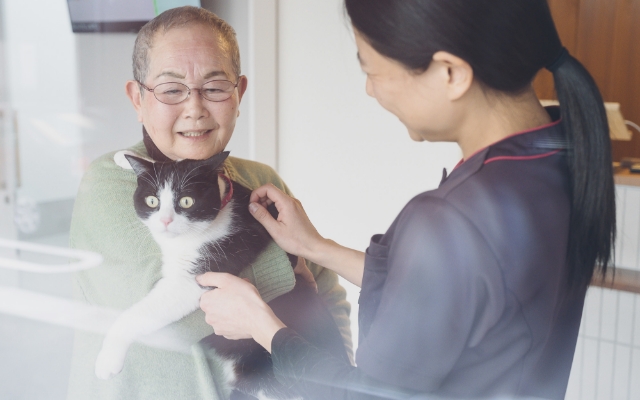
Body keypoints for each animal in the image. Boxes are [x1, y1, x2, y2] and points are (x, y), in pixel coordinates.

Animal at [98, 151, 350, 400]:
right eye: (152, 201)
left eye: (186, 202)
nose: (165, 221)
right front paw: (125, 157)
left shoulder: (202, 271)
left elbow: (138, 314)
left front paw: (108, 358)